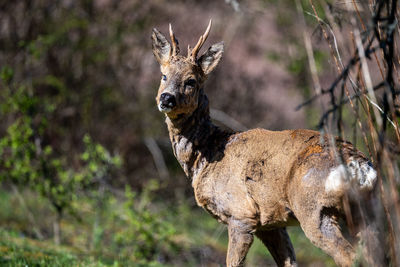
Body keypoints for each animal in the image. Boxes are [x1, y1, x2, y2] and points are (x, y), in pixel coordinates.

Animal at [150, 21, 378, 267]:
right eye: (163, 75)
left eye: (191, 81)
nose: (166, 98)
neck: (208, 153)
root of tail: (360, 168)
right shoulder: (270, 223)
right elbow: (288, 261)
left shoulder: (241, 214)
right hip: (365, 212)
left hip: (315, 209)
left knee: (350, 257)